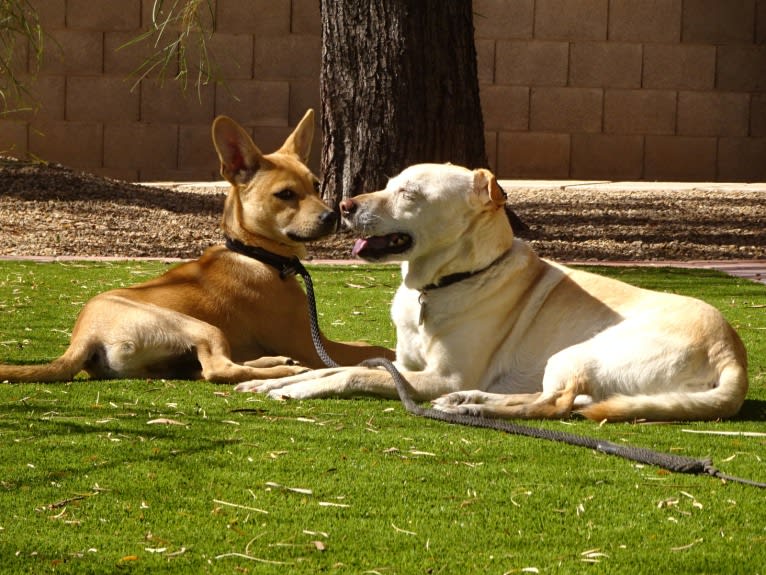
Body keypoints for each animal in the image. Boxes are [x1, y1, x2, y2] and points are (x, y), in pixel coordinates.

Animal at [0, 110, 392, 384]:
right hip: (198, 325)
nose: (333, 215)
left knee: (207, 368)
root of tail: (84, 335)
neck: (254, 254)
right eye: (285, 194)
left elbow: (370, 345)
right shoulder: (313, 343)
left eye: (315, 185)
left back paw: (272, 362)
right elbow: (376, 348)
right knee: (220, 370)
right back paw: (284, 370)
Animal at [236, 164, 752, 420]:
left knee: (555, 404)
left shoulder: (436, 377)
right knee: (559, 400)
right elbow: (340, 367)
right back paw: (470, 402)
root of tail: (732, 354)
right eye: (386, 183)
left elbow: (350, 376)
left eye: (409, 194)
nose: (343, 205)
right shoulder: (404, 366)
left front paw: (297, 389)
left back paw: (471, 405)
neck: (443, 283)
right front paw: (277, 381)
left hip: (577, 352)